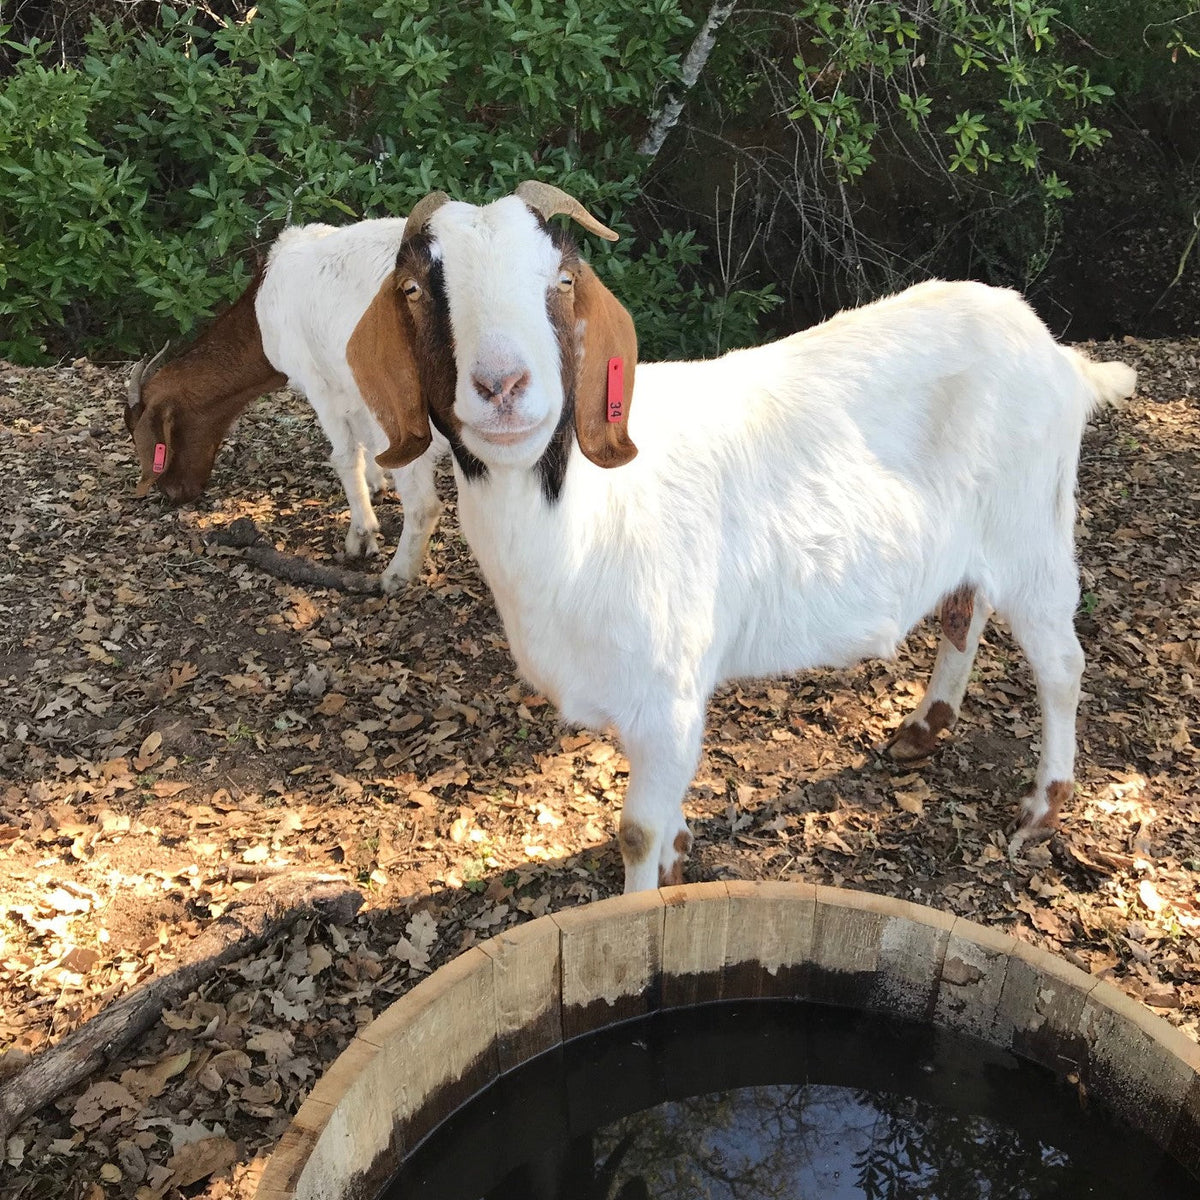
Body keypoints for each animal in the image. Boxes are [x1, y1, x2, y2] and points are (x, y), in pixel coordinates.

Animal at [124, 219, 446, 591]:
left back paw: (397, 574)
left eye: (157, 442)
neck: (264, 308)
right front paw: (376, 484)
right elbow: (367, 441)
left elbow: (344, 456)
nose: (172, 494)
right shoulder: (351, 385)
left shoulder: (321, 383)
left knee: (423, 504)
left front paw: (361, 535)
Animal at [347, 183, 1137, 892]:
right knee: (962, 610)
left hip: (1033, 530)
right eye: (415, 288)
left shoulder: (667, 693)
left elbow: (636, 832)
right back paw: (922, 730)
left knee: (1061, 663)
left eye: (564, 281)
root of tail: (1058, 354)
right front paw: (680, 854)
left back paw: (1042, 809)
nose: (502, 386)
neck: (583, 517)